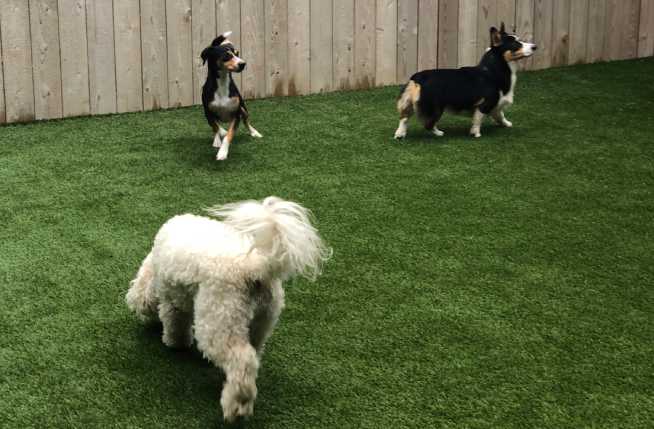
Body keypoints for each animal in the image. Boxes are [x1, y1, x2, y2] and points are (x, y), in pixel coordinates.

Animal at [125, 196, 330, 420]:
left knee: (242, 360)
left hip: (220, 319)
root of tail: (257, 267)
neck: (154, 263)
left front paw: (174, 343)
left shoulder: (173, 300)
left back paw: (237, 405)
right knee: (252, 356)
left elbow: (175, 324)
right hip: (262, 320)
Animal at [201, 30, 262, 160]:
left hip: (244, 109)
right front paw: (220, 137)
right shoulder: (208, 112)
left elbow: (229, 135)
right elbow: (216, 127)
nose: (243, 64)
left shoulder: (236, 114)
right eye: (227, 55)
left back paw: (254, 132)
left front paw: (222, 153)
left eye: (237, 54)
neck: (223, 82)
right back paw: (217, 140)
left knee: (246, 121)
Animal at [394, 23, 540, 139]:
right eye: (516, 44)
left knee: (404, 118)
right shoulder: (485, 103)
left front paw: (507, 124)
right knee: (428, 124)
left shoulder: (496, 104)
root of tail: (417, 78)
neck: (495, 68)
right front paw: (476, 134)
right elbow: (478, 120)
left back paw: (400, 134)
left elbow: (500, 115)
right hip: (436, 108)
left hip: (410, 103)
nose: (535, 47)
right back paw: (439, 133)